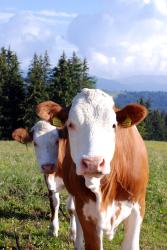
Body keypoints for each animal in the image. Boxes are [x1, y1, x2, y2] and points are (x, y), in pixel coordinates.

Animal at [12, 107, 76, 240]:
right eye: (35, 143)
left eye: (57, 141)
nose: (47, 166)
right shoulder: (48, 180)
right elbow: (54, 203)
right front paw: (53, 229)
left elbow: (71, 208)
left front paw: (73, 233)